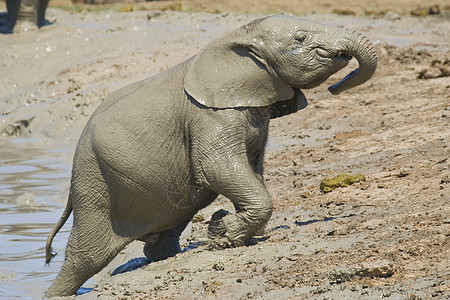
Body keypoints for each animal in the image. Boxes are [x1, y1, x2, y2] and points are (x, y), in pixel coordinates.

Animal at [44, 15, 376, 296]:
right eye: (301, 38)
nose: (335, 88)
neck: (238, 35)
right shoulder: (210, 115)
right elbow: (217, 169)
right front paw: (222, 233)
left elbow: (252, 169)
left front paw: (226, 229)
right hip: (95, 181)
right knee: (86, 256)